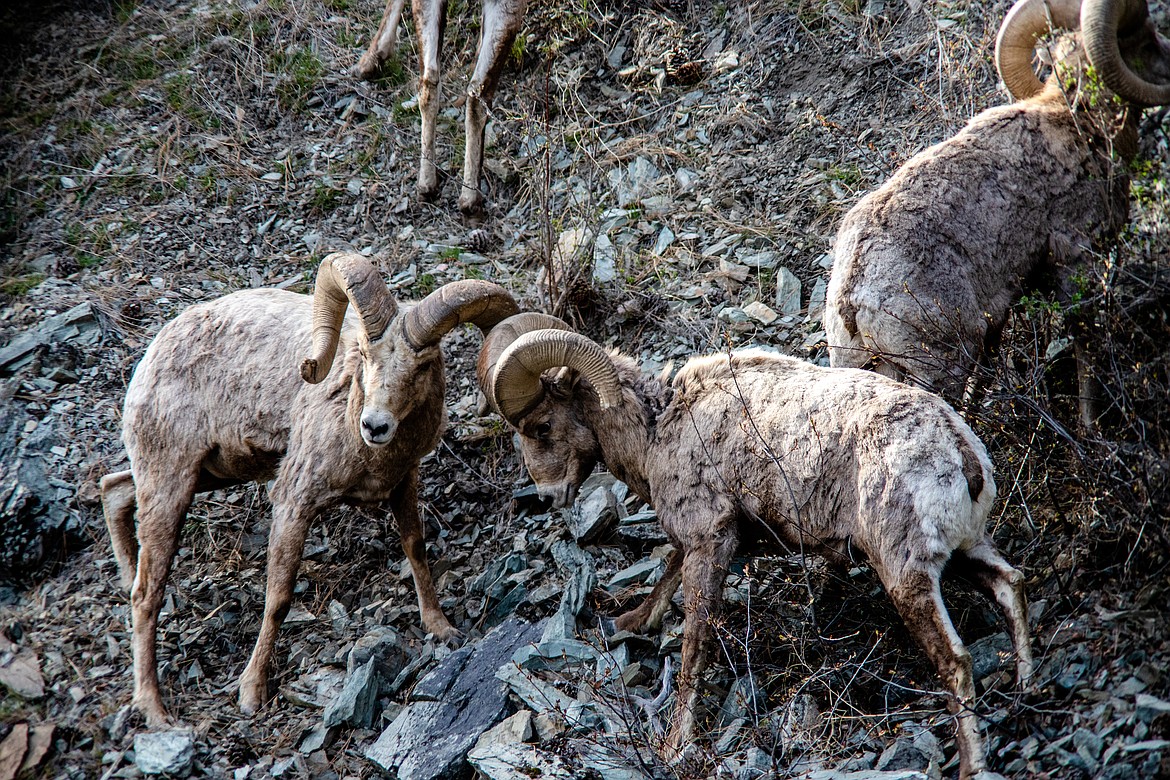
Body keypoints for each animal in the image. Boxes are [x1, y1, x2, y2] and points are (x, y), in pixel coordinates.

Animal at [100, 254, 517, 725]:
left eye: (423, 365)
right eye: (364, 354)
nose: (375, 426)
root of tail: (152, 357)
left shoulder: (402, 483)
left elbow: (416, 548)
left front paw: (442, 628)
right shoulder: (294, 504)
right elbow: (279, 598)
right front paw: (251, 692)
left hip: (207, 475)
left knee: (113, 489)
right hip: (171, 485)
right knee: (145, 595)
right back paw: (153, 708)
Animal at [475, 315, 1034, 780]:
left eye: (542, 425)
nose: (547, 496)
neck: (660, 429)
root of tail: (961, 453)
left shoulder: (710, 543)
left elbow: (695, 644)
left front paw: (676, 745)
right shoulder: (707, 540)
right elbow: (667, 573)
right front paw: (629, 622)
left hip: (906, 575)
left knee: (956, 659)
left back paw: (972, 764)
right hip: (965, 550)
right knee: (1011, 584)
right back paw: (1028, 688)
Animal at [823, 0, 1170, 428]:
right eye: (1147, 41)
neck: (1081, 126)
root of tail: (854, 298)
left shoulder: (999, 312)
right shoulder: (1075, 261)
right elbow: (1084, 343)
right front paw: (1090, 426)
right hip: (937, 368)